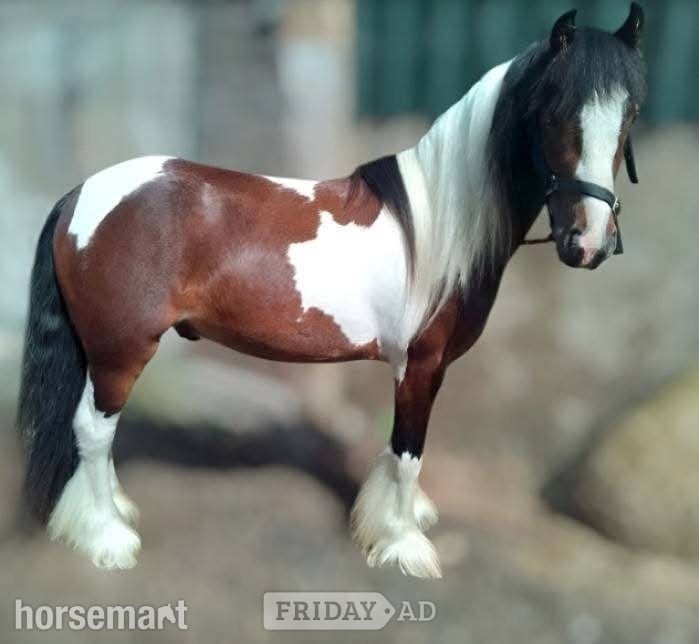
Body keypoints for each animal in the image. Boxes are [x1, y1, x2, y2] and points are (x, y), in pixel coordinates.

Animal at [17, 4, 646, 578]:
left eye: (630, 114)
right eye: (555, 112)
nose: (589, 241)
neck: (440, 220)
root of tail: (82, 193)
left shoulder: (429, 367)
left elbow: (399, 451)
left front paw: (402, 519)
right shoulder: (420, 363)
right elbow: (408, 450)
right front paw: (403, 544)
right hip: (121, 350)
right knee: (92, 429)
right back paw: (106, 536)